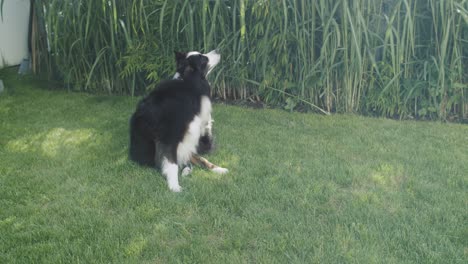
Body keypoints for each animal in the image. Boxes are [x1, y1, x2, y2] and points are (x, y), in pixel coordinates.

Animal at [129, 50, 228, 192]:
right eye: (203, 58)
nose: (218, 50)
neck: (189, 84)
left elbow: (201, 159)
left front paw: (218, 169)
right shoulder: (169, 138)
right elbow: (172, 163)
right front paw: (175, 186)